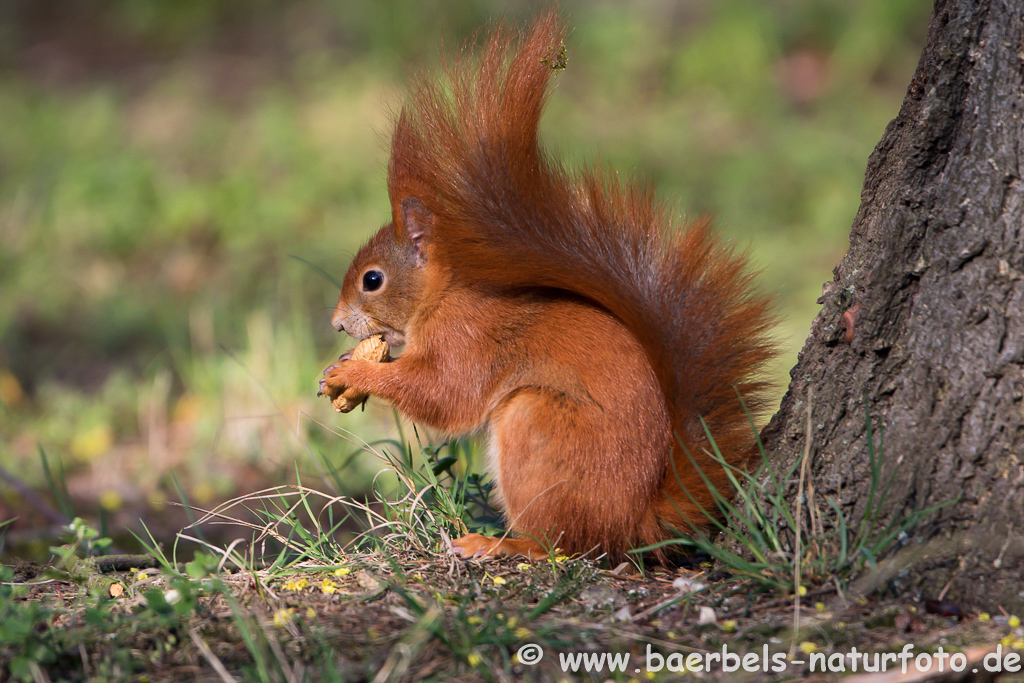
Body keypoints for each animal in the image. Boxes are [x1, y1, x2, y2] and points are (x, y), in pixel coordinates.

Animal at [319, 14, 774, 561]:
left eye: (373, 280)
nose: (336, 324)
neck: (441, 297)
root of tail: (634, 523)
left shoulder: (468, 338)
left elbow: (445, 395)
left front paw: (358, 374)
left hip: (535, 426)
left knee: (558, 545)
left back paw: (497, 543)